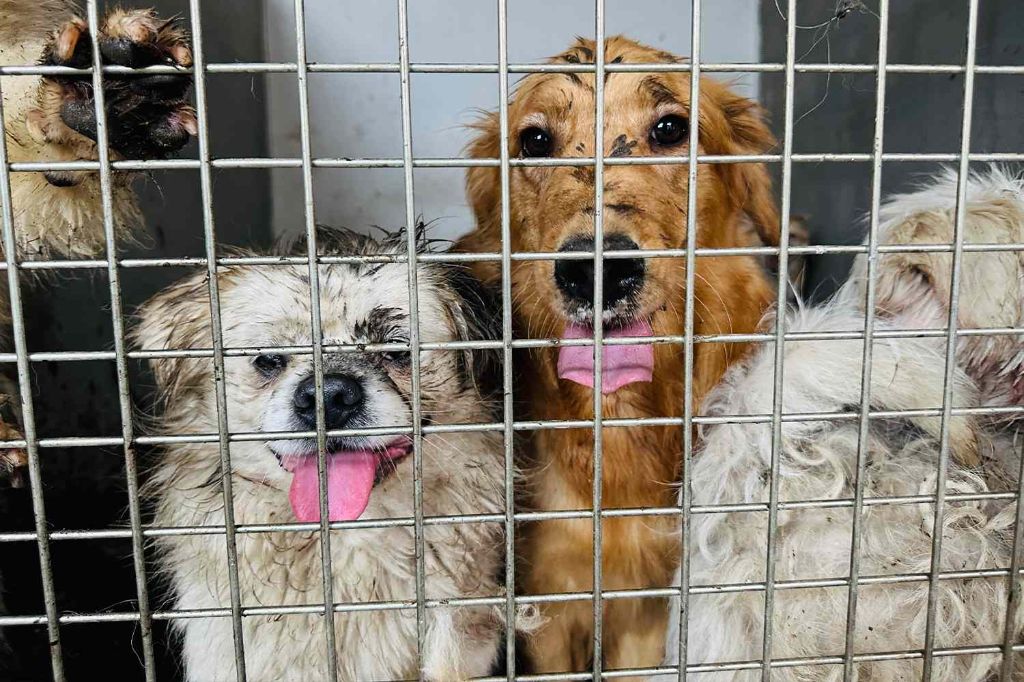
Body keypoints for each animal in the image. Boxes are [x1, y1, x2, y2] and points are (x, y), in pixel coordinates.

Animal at [454, 37, 774, 675]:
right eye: (534, 140)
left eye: (671, 128)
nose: (594, 272)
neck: (619, 421)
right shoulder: (550, 603)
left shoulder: (647, 606)